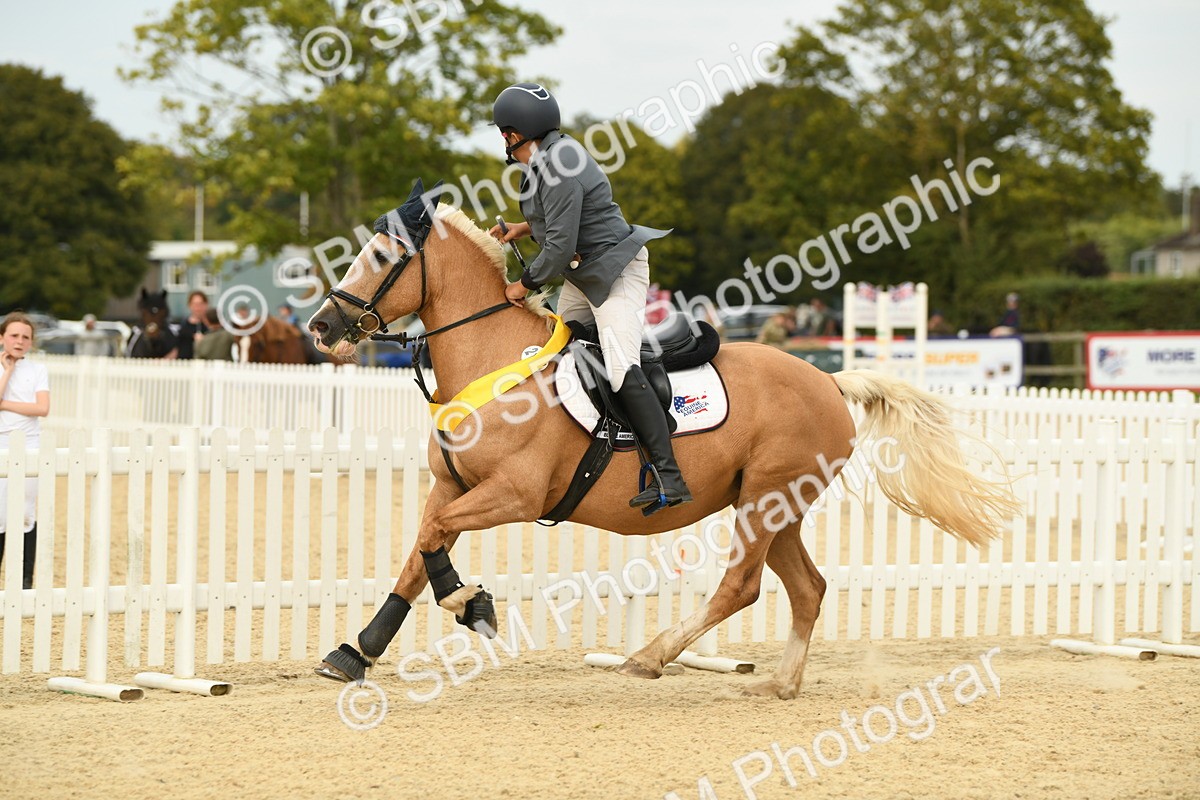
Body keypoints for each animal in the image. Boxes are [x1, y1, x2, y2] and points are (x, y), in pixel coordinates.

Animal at [305, 183, 1020, 698]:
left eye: (380, 257)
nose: (320, 326)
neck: (495, 360)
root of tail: (828, 380)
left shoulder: (514, 494)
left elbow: (433, 544)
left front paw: (469, 602)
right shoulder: (450, 486)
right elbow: (419, 551)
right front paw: (357, 650)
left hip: (764, 501)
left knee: (742, 586)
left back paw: (649, 658)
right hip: (777, 505)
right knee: (807, 588)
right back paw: (781, 684)